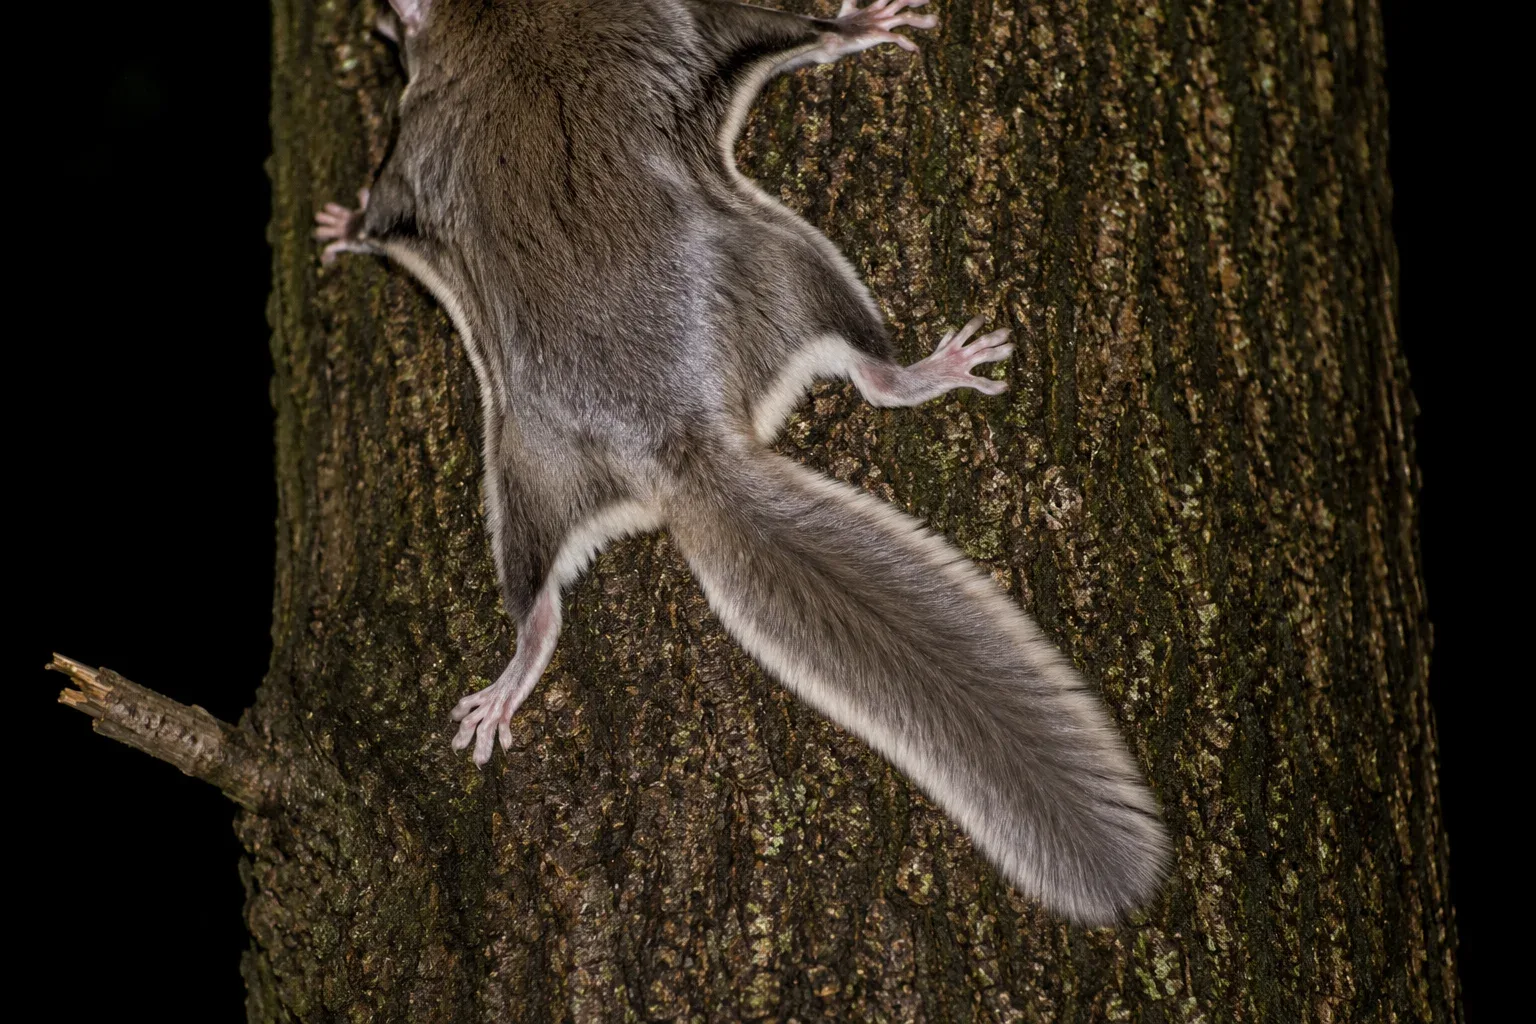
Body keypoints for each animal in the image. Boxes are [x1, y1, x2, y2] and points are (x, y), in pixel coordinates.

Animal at [315, 0, 1170, 926]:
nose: (381, 25)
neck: (505, 22)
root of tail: (677, 437)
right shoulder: (438, 137)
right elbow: (776, 30)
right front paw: (856, 27)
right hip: (787, 266)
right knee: (868, 376)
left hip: (532, 461)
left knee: (536, 587)